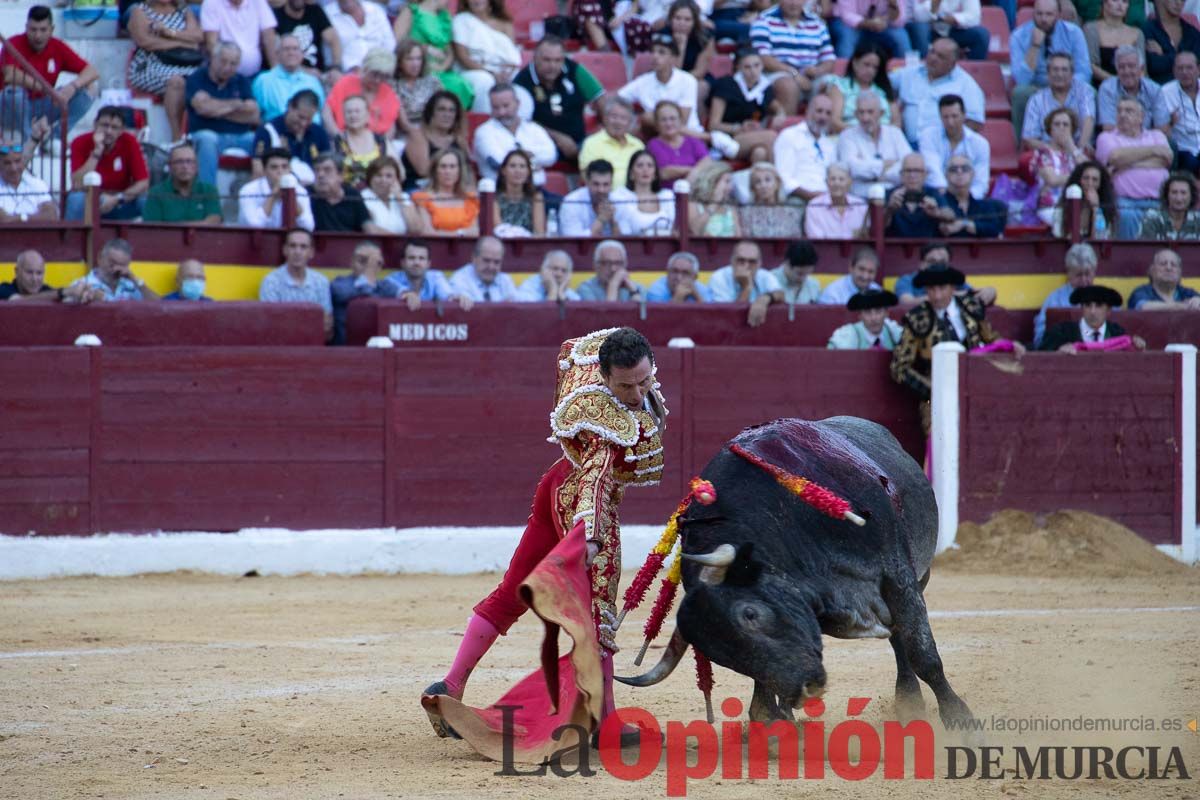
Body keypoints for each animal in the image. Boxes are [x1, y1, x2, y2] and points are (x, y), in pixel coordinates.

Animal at [619, 417, 974, 729]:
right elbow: (763, 693)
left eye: (750, 614)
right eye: (722, 657)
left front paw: (962, 722)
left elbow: (922, 653)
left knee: (902, 639)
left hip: (920, 576)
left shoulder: (898, 575)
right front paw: (775, 723)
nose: (805, 689)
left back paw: (909, 703)